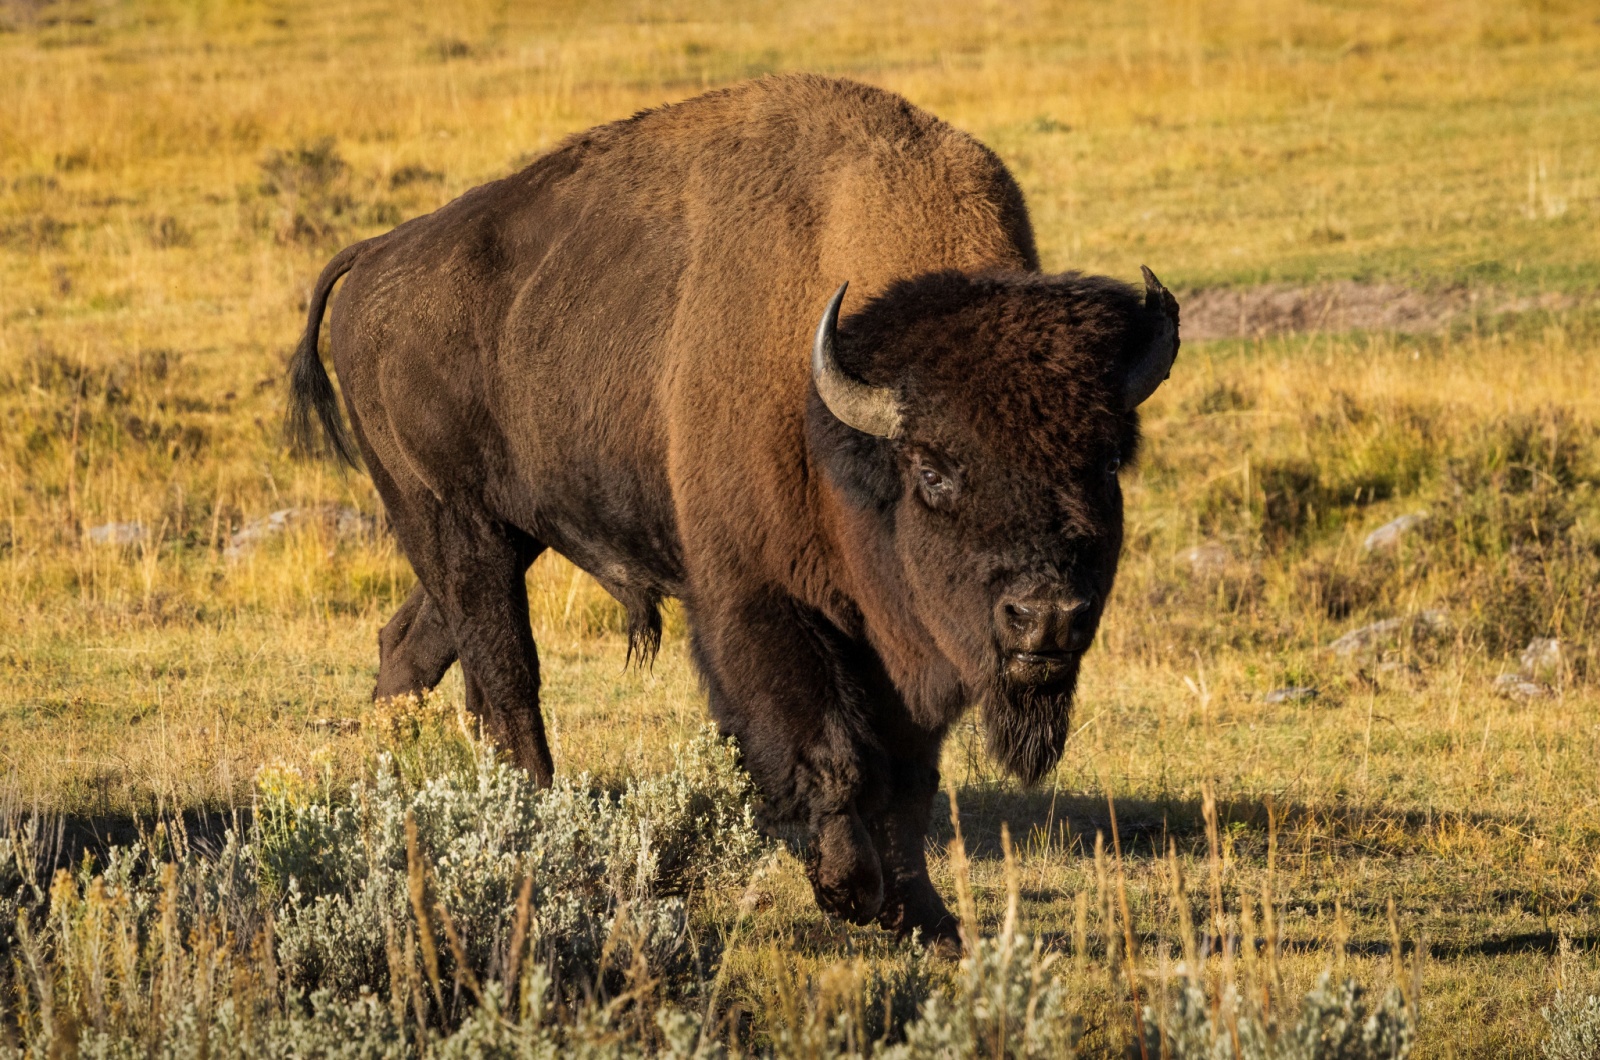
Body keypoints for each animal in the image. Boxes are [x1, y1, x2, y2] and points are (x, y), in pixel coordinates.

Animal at [294, 74, 1184, 947]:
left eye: (1108, 461)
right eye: (933, 471)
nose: (1045, 617)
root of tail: (377, 256)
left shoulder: (906, 632)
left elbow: (909, 773)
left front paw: (925, 918)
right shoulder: (763, 600)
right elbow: (828, 752)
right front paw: (849, 890)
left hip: (500, 535)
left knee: (417, 647)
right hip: (451, 520)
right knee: (508, 675)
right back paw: (536, 831)